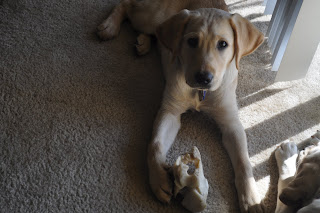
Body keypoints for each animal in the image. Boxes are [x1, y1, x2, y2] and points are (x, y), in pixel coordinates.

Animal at [98, 0, 264, 212]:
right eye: (192, 41)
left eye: (223, 44)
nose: (203, 78)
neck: (199, 94)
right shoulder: (170, 111)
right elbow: (155, 144)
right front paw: (159, 179)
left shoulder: (231, 122)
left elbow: (244, 161)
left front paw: (251, 198)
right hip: (151, 16)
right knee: (127, 6)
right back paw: (109, 27)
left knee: (155, 32)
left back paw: (143, 42)